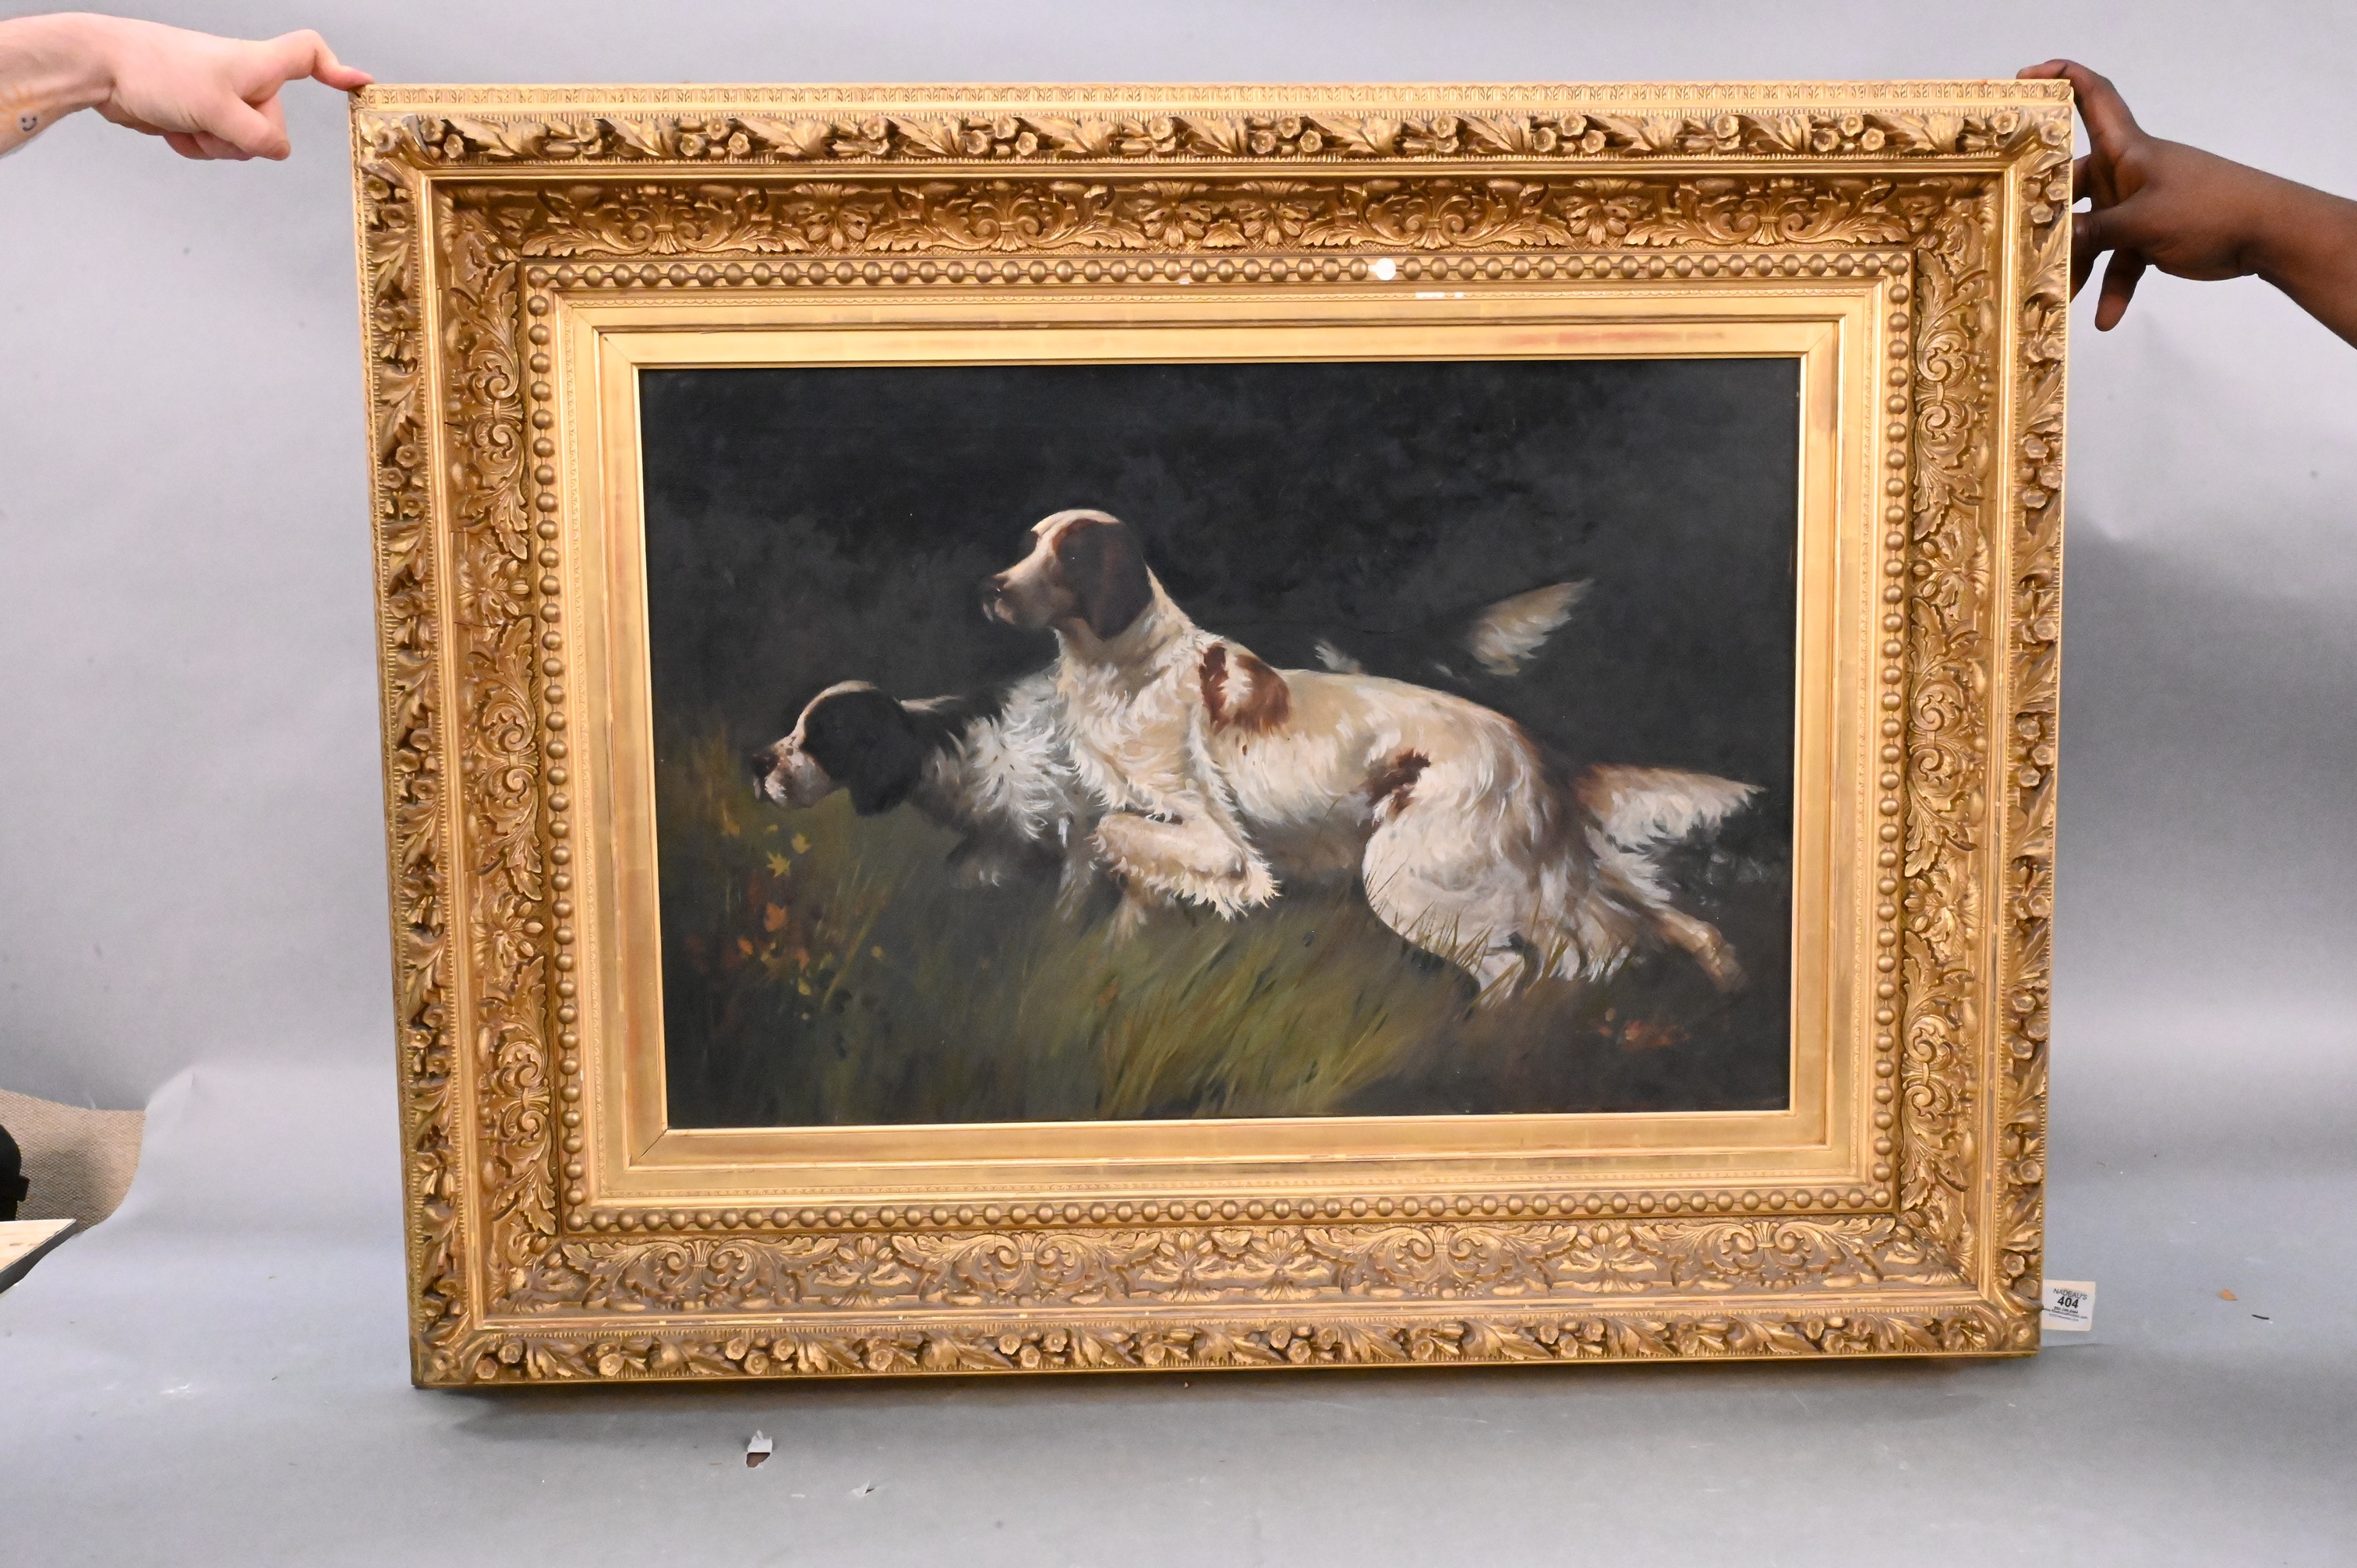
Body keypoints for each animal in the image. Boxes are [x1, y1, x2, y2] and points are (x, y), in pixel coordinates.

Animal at [982, 508, 1755, 999]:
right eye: (1028, 545)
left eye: (1072, 556)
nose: (994, 588)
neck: (1128, 668)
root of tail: (1538, 752)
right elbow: (1122, 875)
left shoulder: (1213, 835)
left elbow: (1123, 838)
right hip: (1564, 875)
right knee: (1680, 926)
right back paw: (1728, 988)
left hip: (1407, 880)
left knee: (1517, 968)